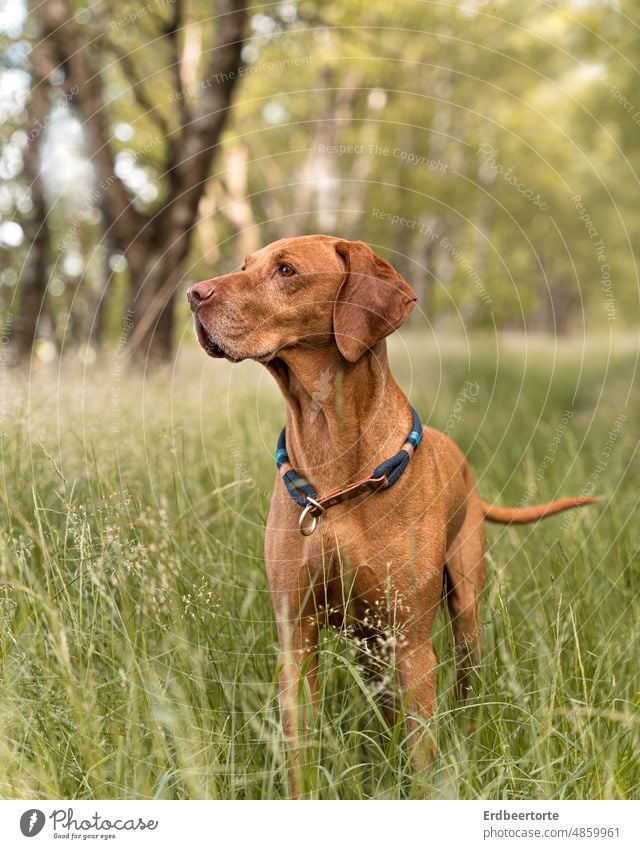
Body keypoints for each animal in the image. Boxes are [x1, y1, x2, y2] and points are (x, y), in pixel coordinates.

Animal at [188, 235, 596, 792]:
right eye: (245, 264)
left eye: (286, 270)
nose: (192, 294)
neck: (333, 455)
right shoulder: (297, 639)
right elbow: (300, 757)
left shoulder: (413, 645)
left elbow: (424, 762)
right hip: (370, 643)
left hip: (464, 613)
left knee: (466, 694)